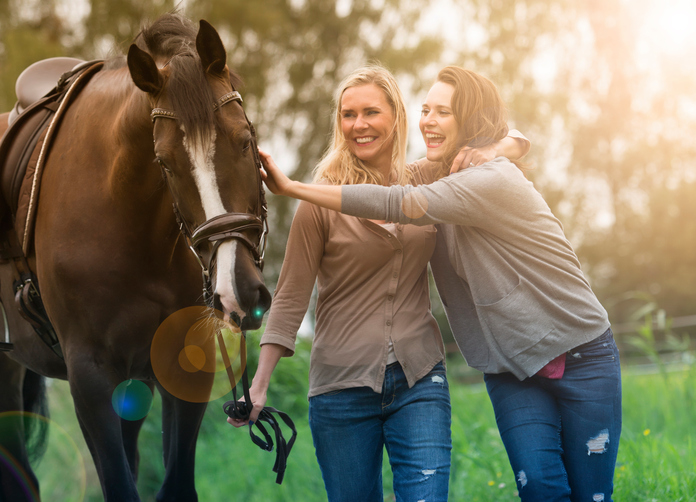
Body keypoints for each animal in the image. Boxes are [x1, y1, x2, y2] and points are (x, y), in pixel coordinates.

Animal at [0, 14, 271, 501]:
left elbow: (174, 485)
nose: (236, 291)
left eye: (245, 140)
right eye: (164, 162)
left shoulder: (182, 362)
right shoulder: (90, 377)